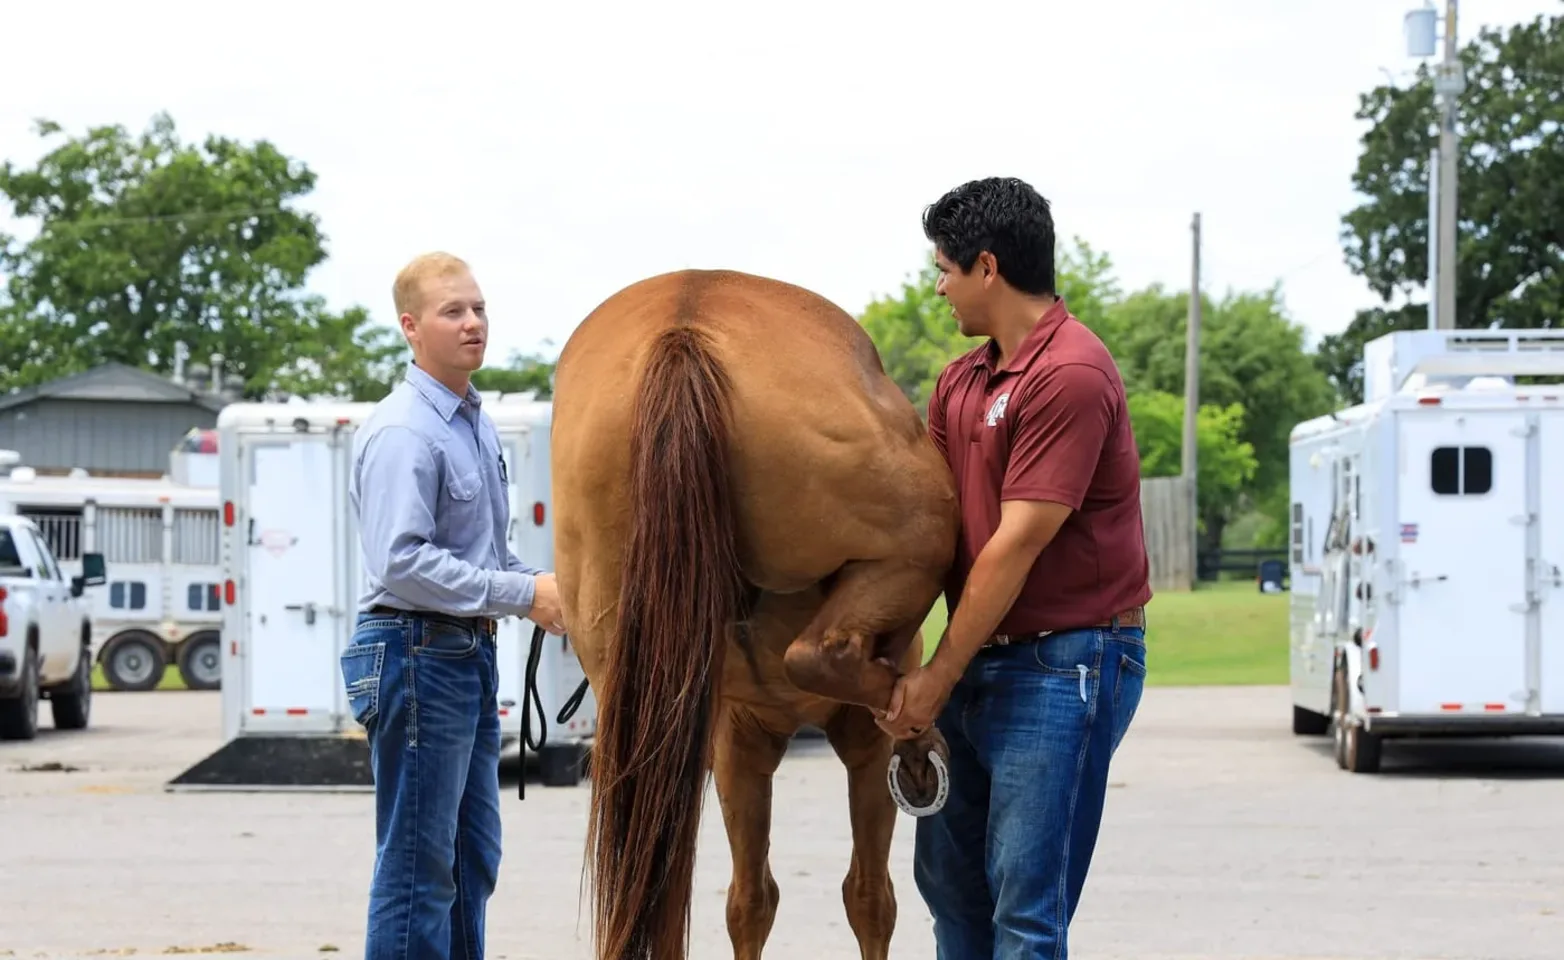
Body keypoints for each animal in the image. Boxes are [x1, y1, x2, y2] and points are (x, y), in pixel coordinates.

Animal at [550, 268, 963, 960]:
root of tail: (685, 329)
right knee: (823, 656)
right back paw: (912, 715)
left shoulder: (737, 743)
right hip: (922, 541)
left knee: (661, 893)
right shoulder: (852, 743)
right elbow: (869, 899)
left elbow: (749, 903)